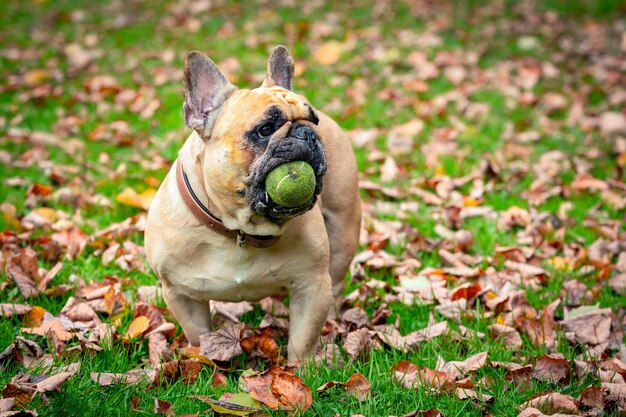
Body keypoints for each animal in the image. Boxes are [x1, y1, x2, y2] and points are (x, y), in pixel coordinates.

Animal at [145, 45, 360, 360]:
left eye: (313, 120)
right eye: (265, 129)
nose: (307, 133)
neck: (239, 229)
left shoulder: (312, 285)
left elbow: (302, 339)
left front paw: (301, 368)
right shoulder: (180, 294)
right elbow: (198, 335)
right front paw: (203, 359)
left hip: (343, 231)